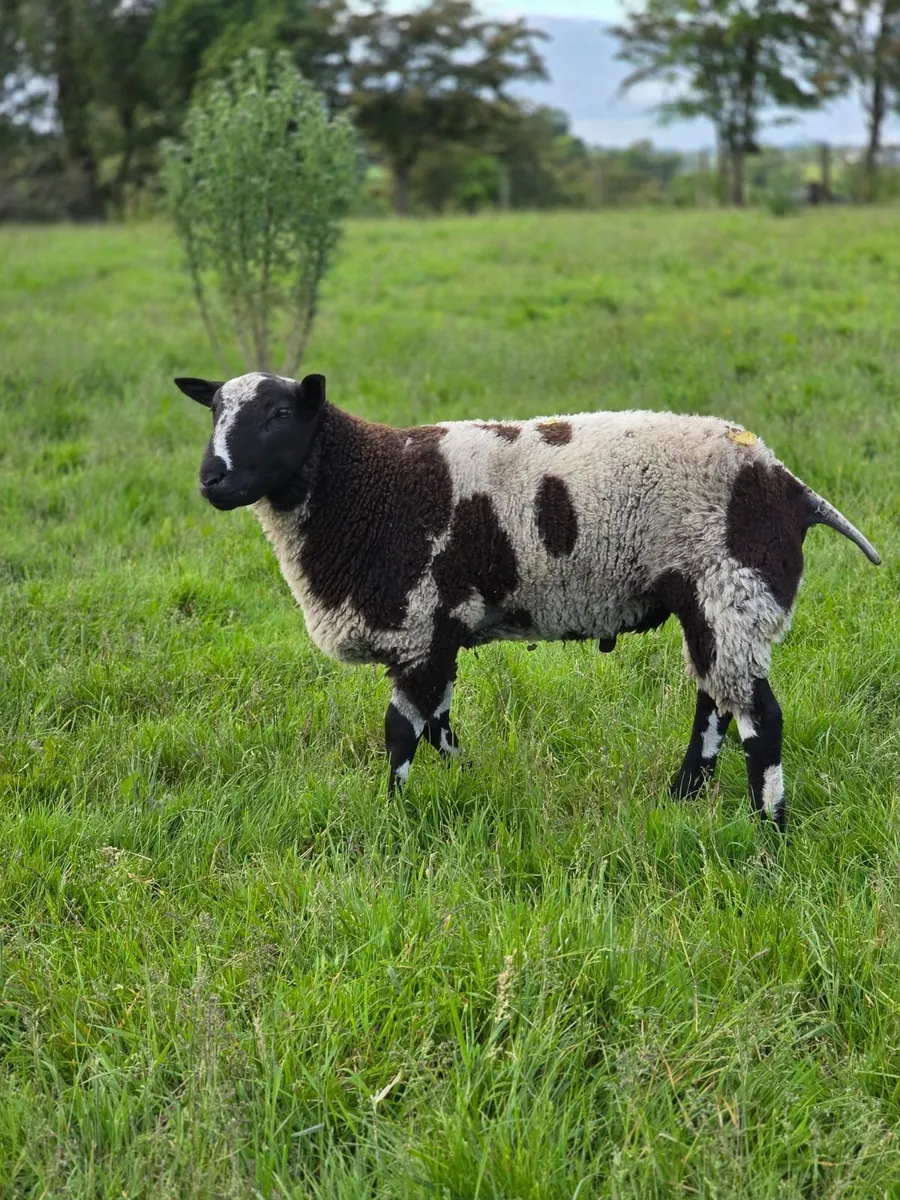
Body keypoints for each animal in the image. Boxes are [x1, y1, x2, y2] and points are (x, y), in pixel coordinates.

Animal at [173, 371, 881, 830]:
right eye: (213, 415)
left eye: (278, 415)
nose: (211, 480)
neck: (364, 486)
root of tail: (788, 482)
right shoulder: (438, 630)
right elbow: (439, 728)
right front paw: (463, 784)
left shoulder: (420, 625)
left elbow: (402, 732)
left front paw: (392, 818)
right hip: (713, 603)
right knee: (715, 701)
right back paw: (684, 797)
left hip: (732, 588)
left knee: (760, 719)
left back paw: (770, 835)